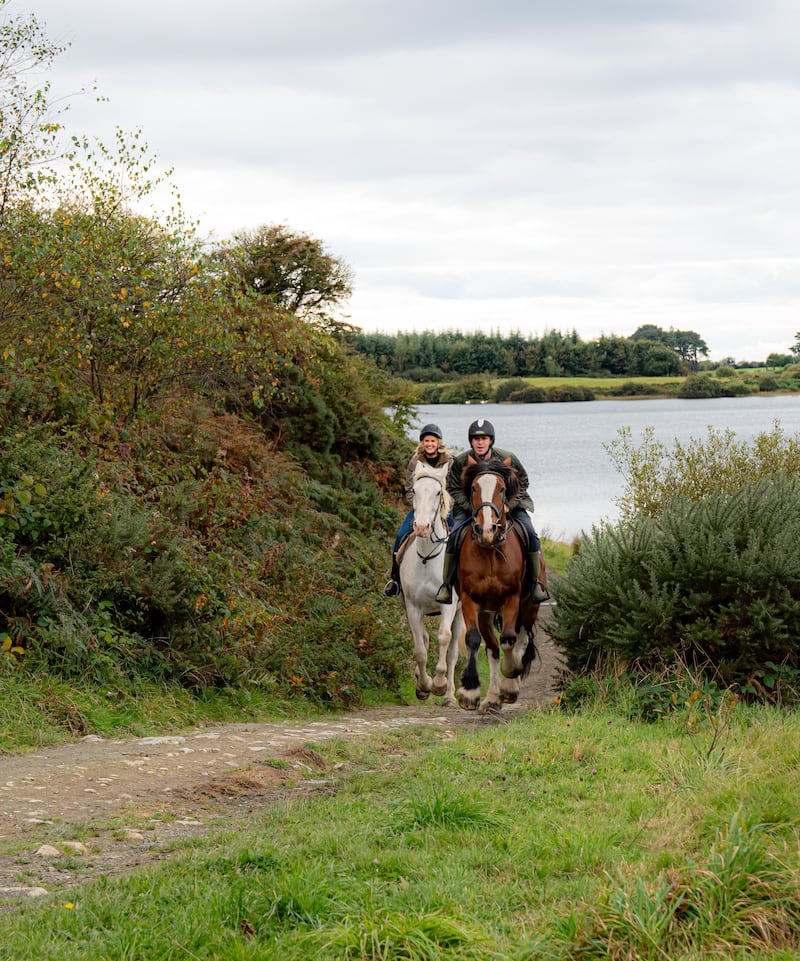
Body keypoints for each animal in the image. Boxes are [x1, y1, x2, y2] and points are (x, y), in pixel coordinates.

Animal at [398, 462, 466, 708]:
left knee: (453, 651)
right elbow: (420, 649)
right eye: (414, 491)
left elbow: (444, 638)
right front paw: (424, 686)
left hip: (461, 613)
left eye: (438, 492)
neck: (428, 557)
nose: (421, 527)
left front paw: (438, 684)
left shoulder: (448, 605)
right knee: (425, 640)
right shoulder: (413, 607)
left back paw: (449, 696)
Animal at [456, 458, 544, 712]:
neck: (490, 551)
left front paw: (511, 677)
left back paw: (509, 686)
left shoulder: (511, 600)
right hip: (486, 613)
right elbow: (473, 639)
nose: (485, 529)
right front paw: (469, 691)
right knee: (492, 649)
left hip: (530, 606)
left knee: (521, 637)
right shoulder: (470, 600)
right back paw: (493, 697)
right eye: (473, 488)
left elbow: (509, 639)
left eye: (503, 489)